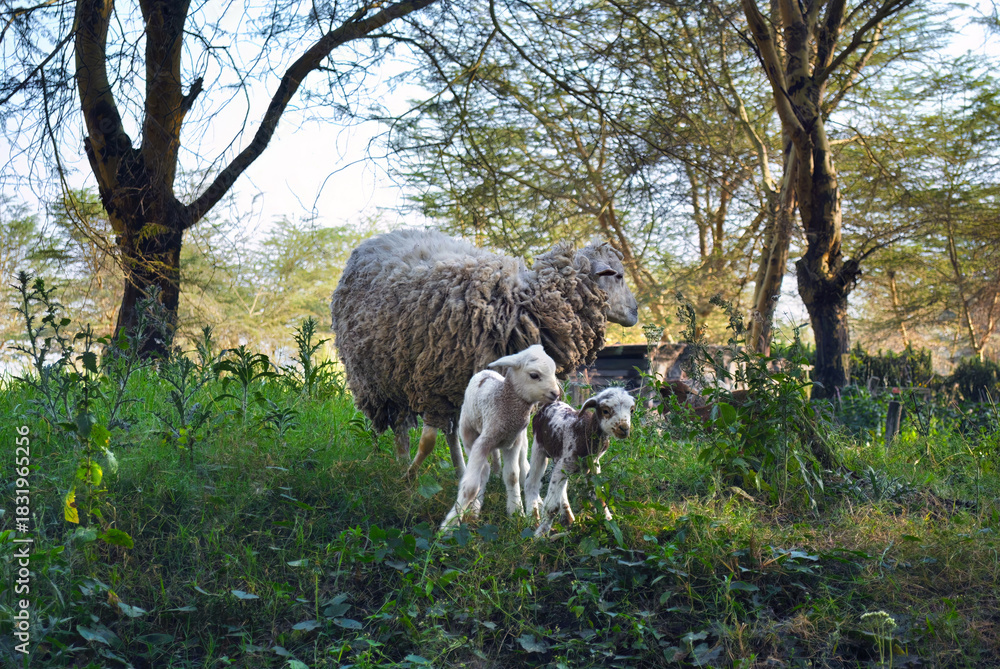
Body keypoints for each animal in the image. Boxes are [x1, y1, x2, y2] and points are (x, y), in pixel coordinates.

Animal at [330, 229, 639, 479]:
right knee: (401, 427)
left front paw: (498, 472)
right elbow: (428, 440)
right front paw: (410, 478)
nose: (636, 312)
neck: (525, 302)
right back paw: (403, 463)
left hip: (450, 384)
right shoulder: (433, 382)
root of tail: (376, 240)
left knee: (451, 433)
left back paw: (459, 469)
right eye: (619, 276)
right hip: (382, 380)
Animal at [440, 345, 561, 530]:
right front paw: (449, 524)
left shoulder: (513, 442)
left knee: (523, 467)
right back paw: (475, 507)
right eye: (534, 375)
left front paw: (516, 512)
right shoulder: (483, 442)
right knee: (484, 470)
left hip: (522, 440)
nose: (556, 393)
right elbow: (471, 486)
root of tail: (484, 372)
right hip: (468, 434)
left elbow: (512, 476)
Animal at [525, 387, 635, 537]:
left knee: (561, 488)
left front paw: (608, 521)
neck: (585, 431)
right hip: (538, 445)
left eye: (631, 410)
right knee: (531, 482)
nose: (624, 429)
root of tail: (550, 403)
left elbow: (599, 497)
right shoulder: (565, 462)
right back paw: (532, 518)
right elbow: (552, 506)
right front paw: (540, 534)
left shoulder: (591, 466)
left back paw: (568, 518)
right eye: (605, 411)